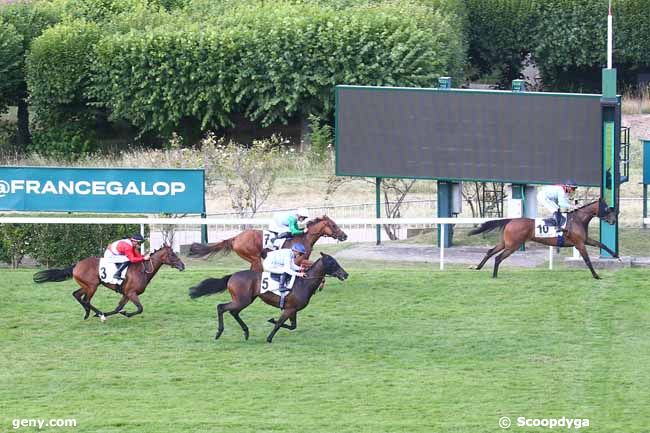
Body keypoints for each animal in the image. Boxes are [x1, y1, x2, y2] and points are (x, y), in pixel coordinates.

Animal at [33, 245, 185, 318]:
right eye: (172, 255)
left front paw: (122, 312)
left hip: (87, 285)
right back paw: (98, 313)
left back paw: (89, 313)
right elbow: (140, 308)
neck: (143, 269)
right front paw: (125, 313)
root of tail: (76, 265)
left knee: (76, 295)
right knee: (86, 300)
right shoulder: (131, 293)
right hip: (92, 286)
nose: (183, 266)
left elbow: (118, 308)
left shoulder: (126, 293)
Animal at [189, 251, 350, 342]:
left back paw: (246, 332)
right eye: (332, 262)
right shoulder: (289, 309)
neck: (304, 282)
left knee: (233, 312)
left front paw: (271, 320)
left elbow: (292, 326)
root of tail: (232, 276)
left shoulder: (293, 309)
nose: (345, 274)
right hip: (242, 300)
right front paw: (269, 336)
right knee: (221, 307)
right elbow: (280, 324)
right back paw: (219, 332)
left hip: (245, 300)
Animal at [468, 197, 616, 278]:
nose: (613, 221)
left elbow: (602, 244)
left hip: (506, 243)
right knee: (498, 257)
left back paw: (478, 267)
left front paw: (616, 256)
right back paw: (494, 275)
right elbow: (587, 260)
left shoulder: (584, 240)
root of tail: (511, 220)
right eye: (607, 208)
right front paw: (596, 275)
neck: (578, 219)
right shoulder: (579, 243)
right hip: (513, 245)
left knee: (490, 252)